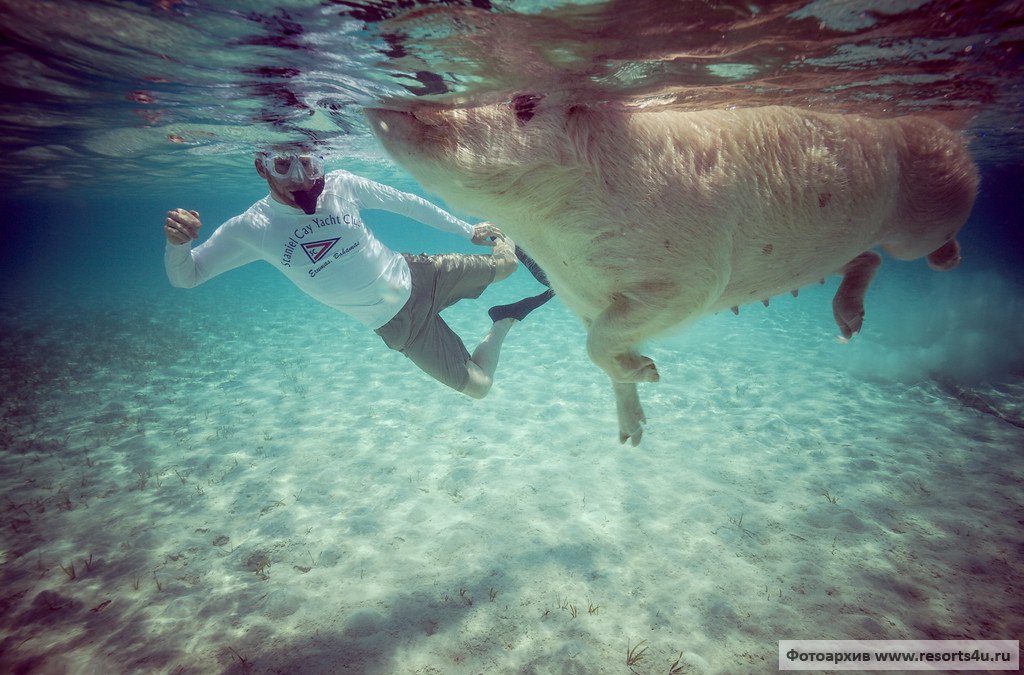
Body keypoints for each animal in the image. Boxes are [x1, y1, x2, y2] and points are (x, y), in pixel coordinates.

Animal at [366, 102, 974, 446]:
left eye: (520, 105)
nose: (384, 105)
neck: (545, 231)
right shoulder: (581, 294)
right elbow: (599, 346)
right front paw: (631, 434)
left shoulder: (690, 275)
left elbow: (608, 335)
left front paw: (654, 373)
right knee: (867, 258)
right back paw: (848, 328)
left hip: (924, 208)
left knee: (918, 237)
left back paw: (949, 261)